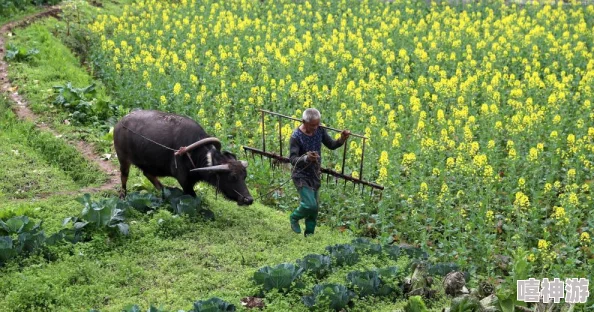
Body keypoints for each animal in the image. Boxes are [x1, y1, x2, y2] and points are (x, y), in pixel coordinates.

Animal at [112, 108, 252, 206]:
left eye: (244, 176)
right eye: (232, 177)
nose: (248, 199)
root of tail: (120, 123)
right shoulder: (184, 180)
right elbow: (192, 196)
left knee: (148, 173)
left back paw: (163, 189)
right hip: (123, 158)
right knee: (124, 176)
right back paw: (123, 196)